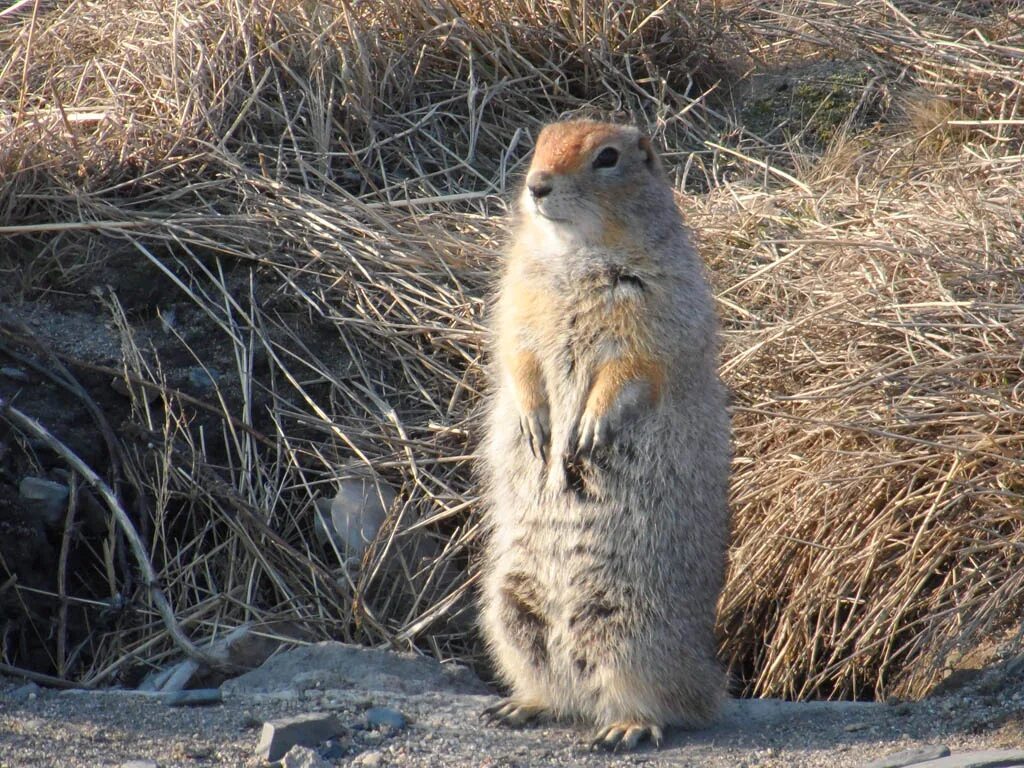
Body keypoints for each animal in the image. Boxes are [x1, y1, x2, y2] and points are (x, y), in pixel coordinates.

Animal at [477, 118, 729, 753]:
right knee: (556, 688)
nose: (537, 186)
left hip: (631, 625)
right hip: (508, 610)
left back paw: (626, 726)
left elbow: (631, 370)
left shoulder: (654, 310)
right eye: (538, 145)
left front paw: (587, 431)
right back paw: (521, 706)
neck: (574, 253)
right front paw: (536, 424)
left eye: (608, 158)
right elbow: (517, 358)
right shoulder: (518, 302)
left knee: (653, 699)